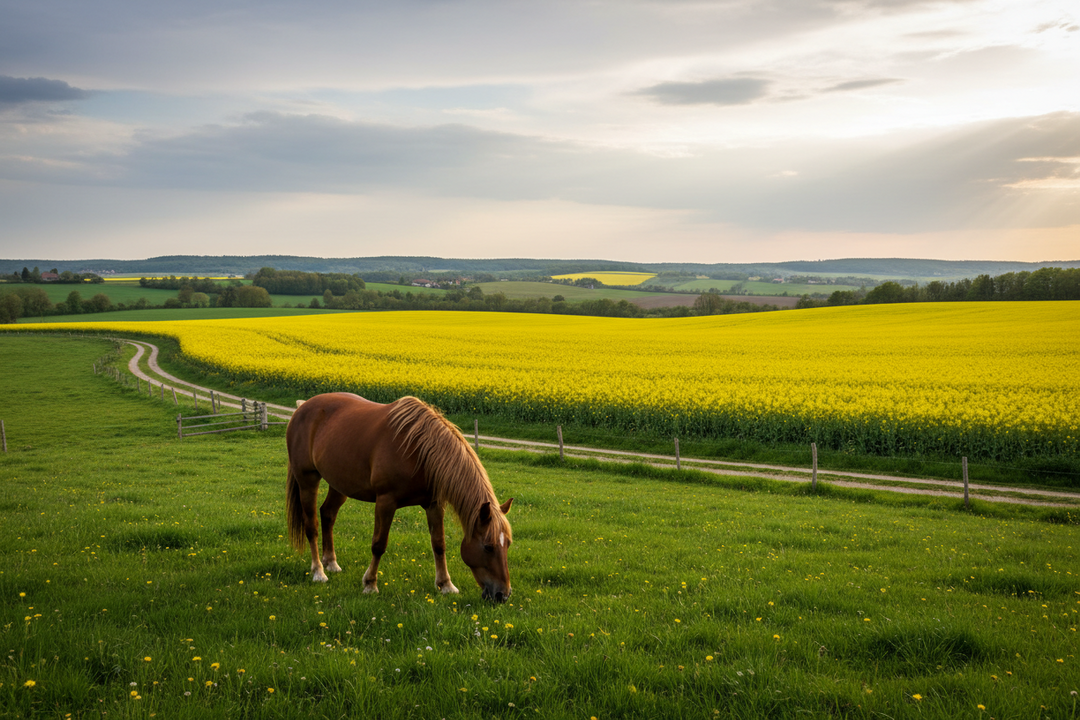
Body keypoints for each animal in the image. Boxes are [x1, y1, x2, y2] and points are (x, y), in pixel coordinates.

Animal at [285, 392, 514, 602]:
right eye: (488, 547)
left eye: (508, 544)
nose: (502, 594)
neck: (419, 450)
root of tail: (302, 407)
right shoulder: (386, 502)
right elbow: (379, 544)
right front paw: (370, 584)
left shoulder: (434, 504)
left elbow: (439, 544)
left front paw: (445, 585)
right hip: (307, 481)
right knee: (312, 525)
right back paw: (318, 571)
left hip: (339, 484)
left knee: (328, 514)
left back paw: (331, 563)